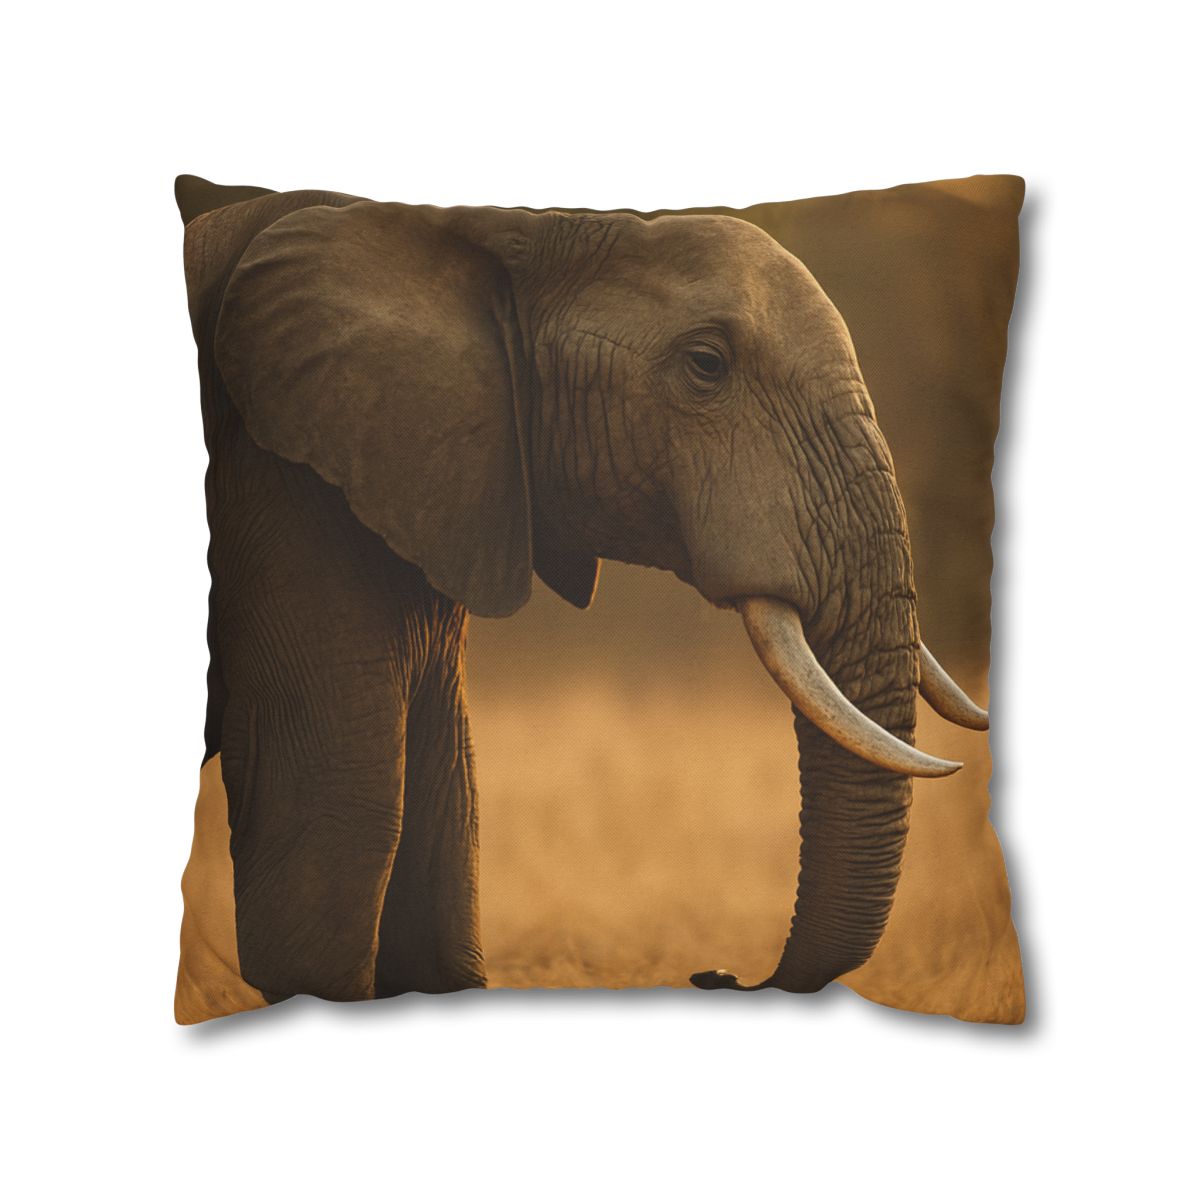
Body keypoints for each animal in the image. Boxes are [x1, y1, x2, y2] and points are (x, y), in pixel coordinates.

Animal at [176, 173, 987, 1007]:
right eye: (707, 364)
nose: (719, 973)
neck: (496, 232)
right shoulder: (283, 491)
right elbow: (342, 813)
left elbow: (444, 809)